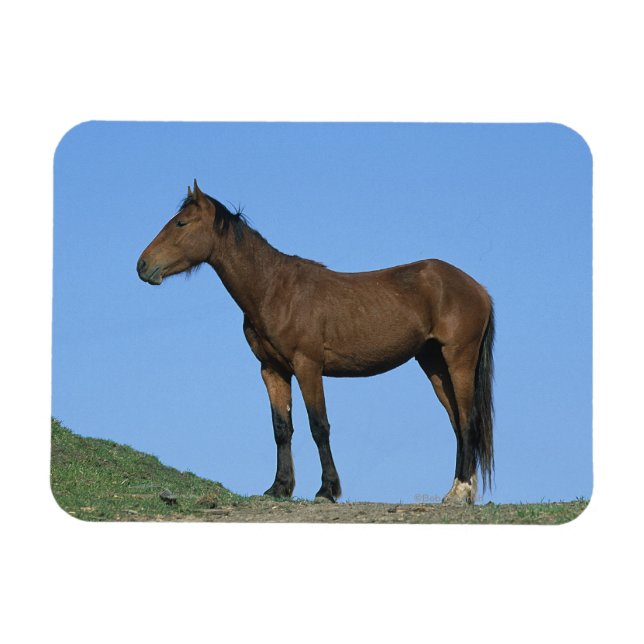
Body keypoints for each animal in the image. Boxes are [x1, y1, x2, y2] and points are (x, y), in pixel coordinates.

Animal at [137, 180, 495, 504]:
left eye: (181, 223)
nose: (143, 265)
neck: (273, 289)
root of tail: (478, 288)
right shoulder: (272, 370)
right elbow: (281, 428)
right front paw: (279, 488)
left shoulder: (308, 366)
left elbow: (318, 426)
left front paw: (327, 490)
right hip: (433, 364)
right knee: (457, 422)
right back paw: (458, 491)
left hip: (458, 359)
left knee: (467, 421)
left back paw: (460, 493)